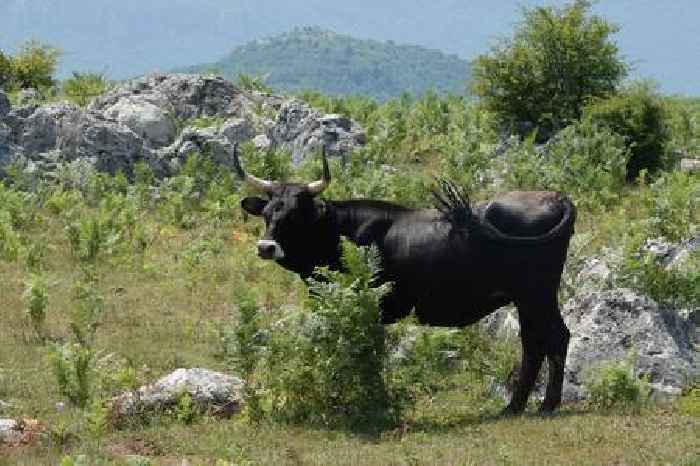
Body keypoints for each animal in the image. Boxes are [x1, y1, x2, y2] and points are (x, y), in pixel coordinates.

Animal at [234, 147, 576, 414]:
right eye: (267, 211)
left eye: (295, 213)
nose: (266, 247)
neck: (341, 230)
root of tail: (556, 196)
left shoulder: (374, 306)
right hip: (528, 298)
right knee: (535, 342)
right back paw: (516, 406)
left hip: (536, 293)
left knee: (554, 337)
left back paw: (546, 405)